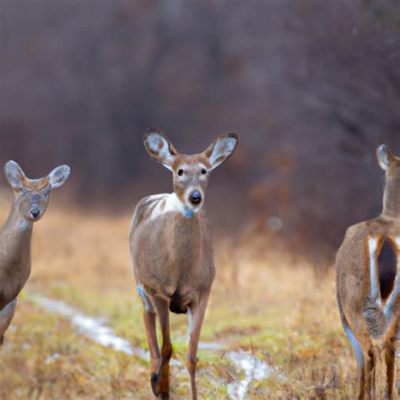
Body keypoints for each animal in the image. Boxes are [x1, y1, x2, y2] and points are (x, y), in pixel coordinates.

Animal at [130, 130, 239, 398]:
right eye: (179, 172)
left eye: (204, 170)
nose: (195, 196)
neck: (179, 270)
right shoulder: (158, 290)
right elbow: (167, 348)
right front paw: (161, 386)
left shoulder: (203, 291)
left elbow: (191, 356)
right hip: (141, 283)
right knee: (148, 321)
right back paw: (154, 377)